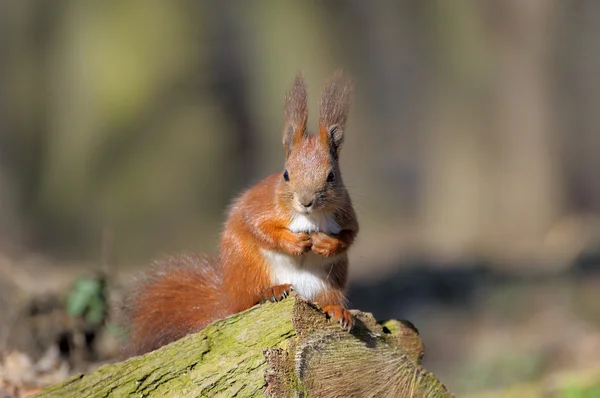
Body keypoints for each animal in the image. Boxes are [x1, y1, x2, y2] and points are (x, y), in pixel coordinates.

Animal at [125, 70, 356, 354]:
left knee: (327, 299)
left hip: (329, 280)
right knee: (250, 299)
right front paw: (294, 242)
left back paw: (338, 310)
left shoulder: (346, 213)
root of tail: (229, 298)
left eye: (331, 176)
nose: (306, 201)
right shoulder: (260, 207)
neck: (310, 218)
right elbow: (257, 226)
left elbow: (349, 236)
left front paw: (326, 244)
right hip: (248, 265)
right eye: (286, 174)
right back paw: (271, 291)